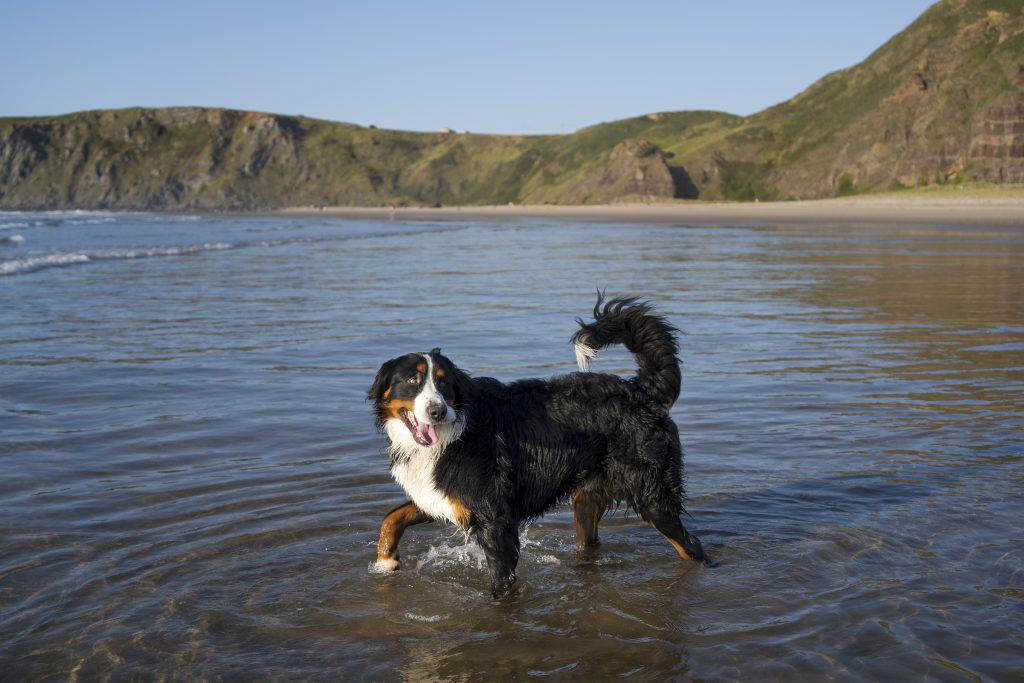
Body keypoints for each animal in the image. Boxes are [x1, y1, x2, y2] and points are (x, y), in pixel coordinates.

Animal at [368, 294, 712, 598]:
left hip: (651, 497)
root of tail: (640, 390)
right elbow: (392, 517)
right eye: (412, 381)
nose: (438, 411)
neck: (456, 432)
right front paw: (386, 561)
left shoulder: (495, 521)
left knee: (692, 546)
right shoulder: (441, 496)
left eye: (442, 382)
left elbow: (501, 586)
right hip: (587, 500)